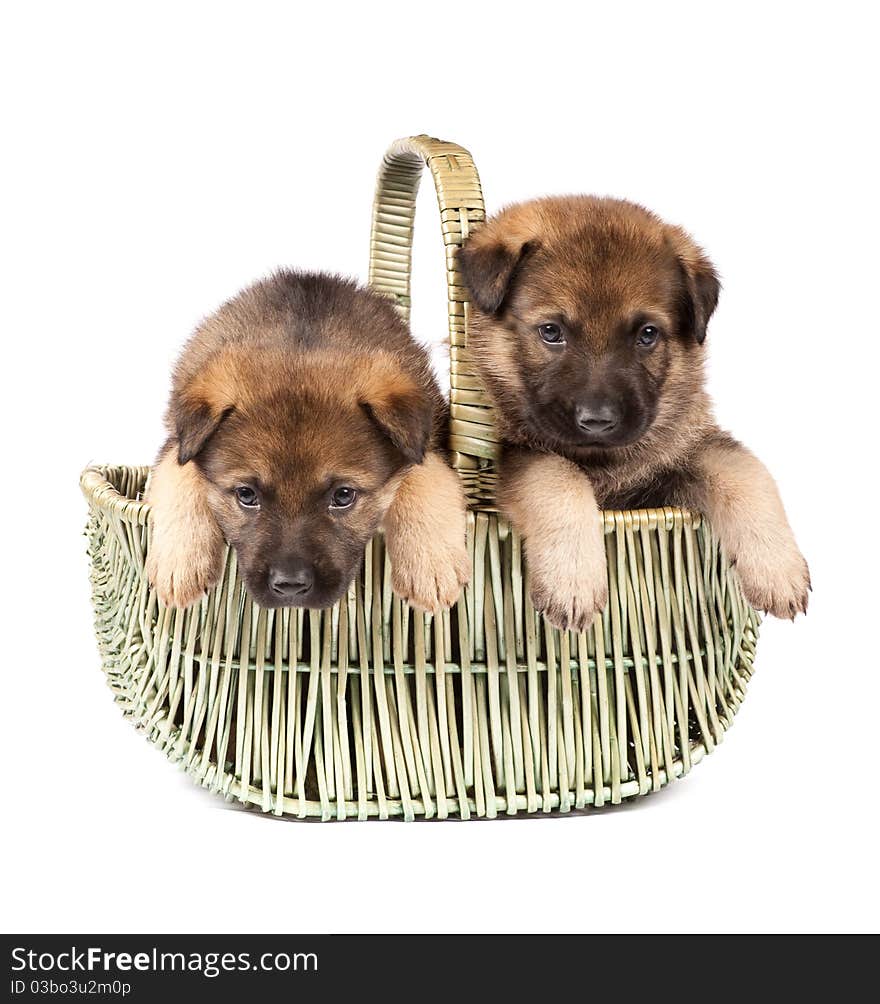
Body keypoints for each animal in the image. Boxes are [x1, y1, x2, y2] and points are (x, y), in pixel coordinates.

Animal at [144, 269, 470, 610]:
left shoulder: (427, 443)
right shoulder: (176, 443)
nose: (290, 586)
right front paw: (180, 563)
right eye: (246, 494)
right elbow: (178, 474)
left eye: (343, 495)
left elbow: (426, 475)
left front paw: (430, 564)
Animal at [460, 197, 811, 626]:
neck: (603, 464)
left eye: (647, 334)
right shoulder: (518, 454)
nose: (598, 421)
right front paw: (573, 581)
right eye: (551, 331)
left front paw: (778, 568)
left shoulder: (682, 453)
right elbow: (558, 477)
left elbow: (746, 471)